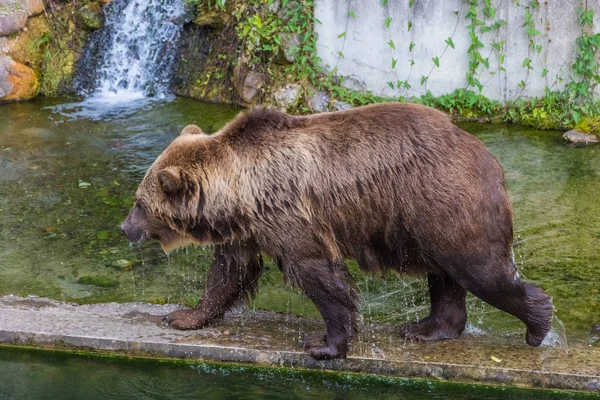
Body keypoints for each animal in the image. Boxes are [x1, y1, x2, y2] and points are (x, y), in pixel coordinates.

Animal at [120, 102, 552, 360]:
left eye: (140, 203)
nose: (125, 228)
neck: (241, 193)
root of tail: (489, 157)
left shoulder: (289, 215)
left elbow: (319, 274)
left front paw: (323, 344)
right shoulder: (248, 230)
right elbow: (228, 273)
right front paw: (184, 316)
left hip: (445, 201)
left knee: (480, 269)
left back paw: (537, 323)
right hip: (426, 221)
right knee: (446, 276)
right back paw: (425, 328)